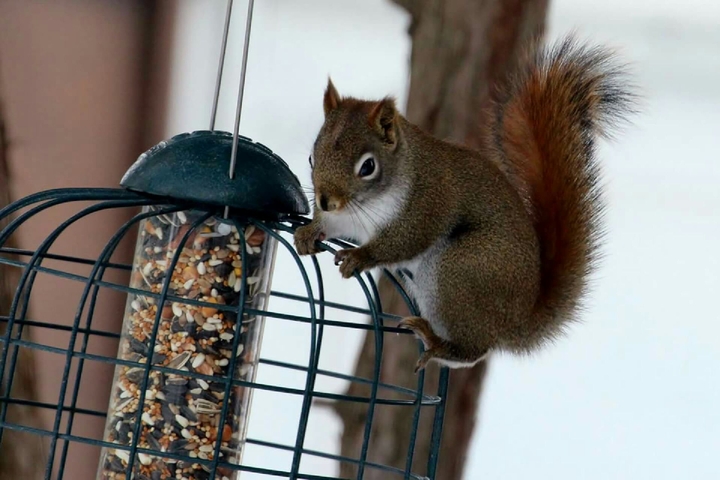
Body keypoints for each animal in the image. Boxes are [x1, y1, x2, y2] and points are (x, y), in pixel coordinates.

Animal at [294, 37, 634, 373]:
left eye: (367, 167)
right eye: (311, 157)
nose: (326, 200)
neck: (366, 203)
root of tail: (515, 321)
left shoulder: (426, 204)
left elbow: (403, 241)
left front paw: (360, 256)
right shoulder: (344, 218)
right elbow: (331, 226)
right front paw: (308, 233)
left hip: (459, 270)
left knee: (473, 351)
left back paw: (436, 343)